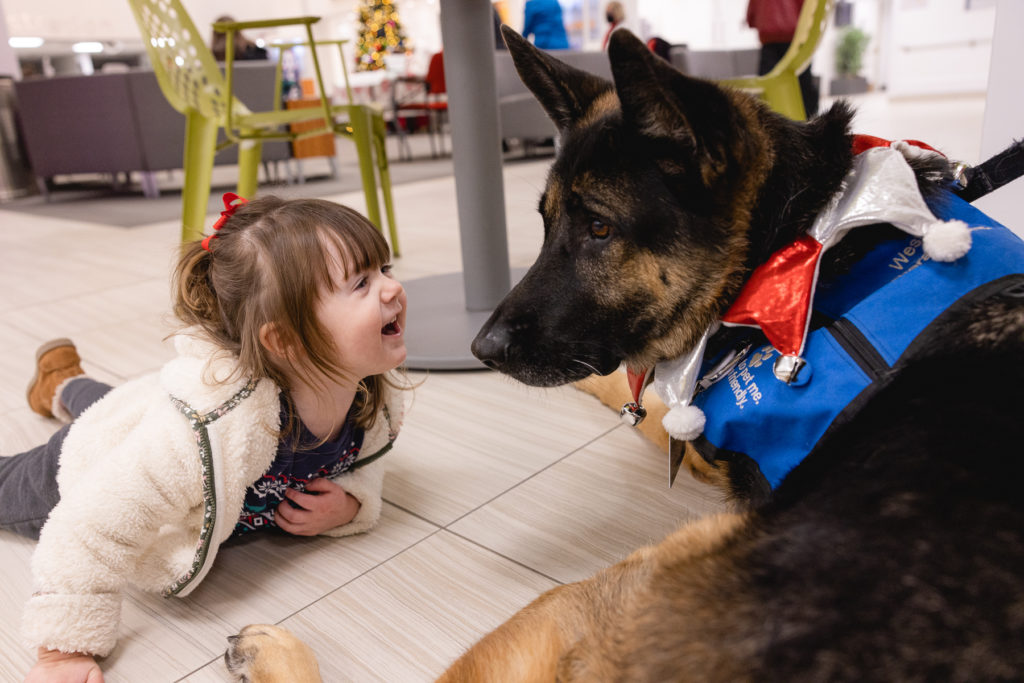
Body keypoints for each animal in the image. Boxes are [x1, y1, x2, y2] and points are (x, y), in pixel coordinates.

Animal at [230, 28, 1024, 683]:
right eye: (545, 222)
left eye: (602, 229)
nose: (479, 348)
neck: (795, 245)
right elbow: (629, 387)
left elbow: (636, 392)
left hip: (599, 590)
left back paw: (269, 648)